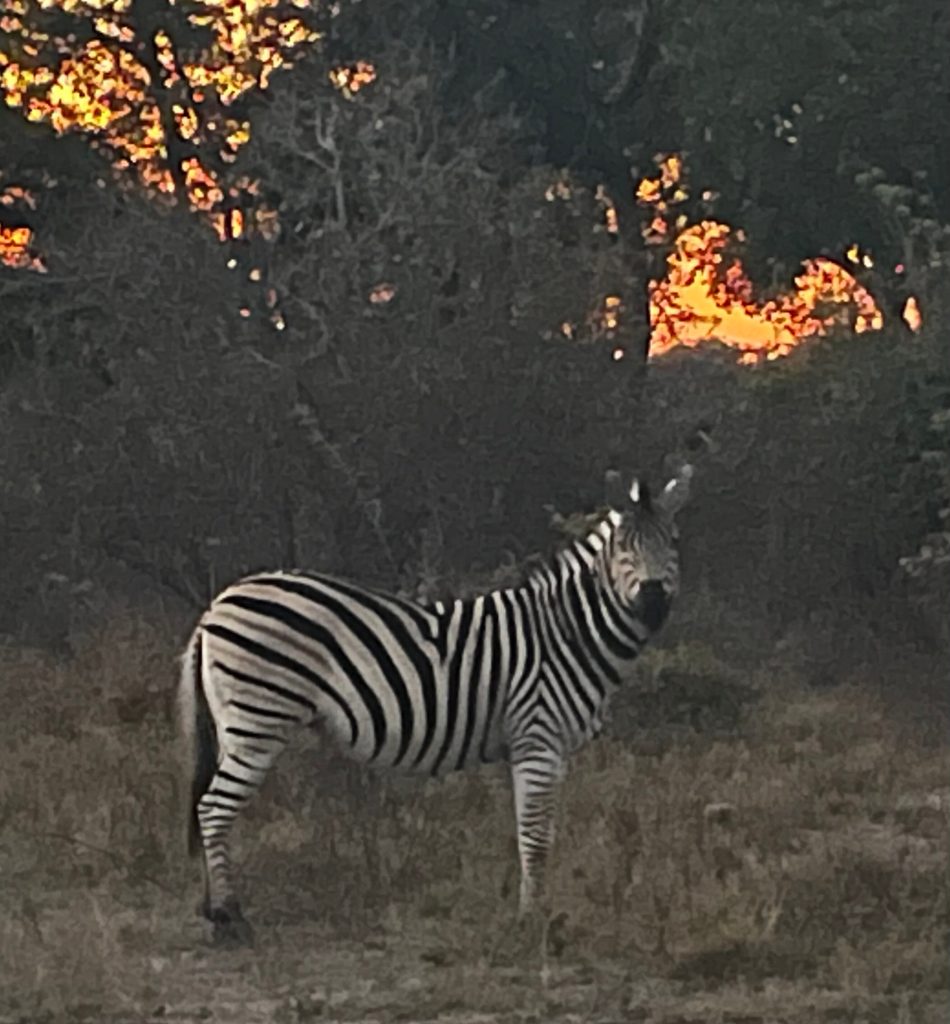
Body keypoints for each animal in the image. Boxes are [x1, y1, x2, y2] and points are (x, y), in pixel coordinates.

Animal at [178, 463, 693, 942]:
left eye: (672, 542)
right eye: (624, 547)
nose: (653, 603)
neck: (568, 631)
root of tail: (217, 605)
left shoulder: (549, 748)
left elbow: (541, 831)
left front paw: (537, 912)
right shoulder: (538, 738)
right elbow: (534, 836)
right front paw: (532, 921)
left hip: (234, 723)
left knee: (207, 805)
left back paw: (210, 909)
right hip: (258, 719)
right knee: (214, 808)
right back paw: (230, 918)